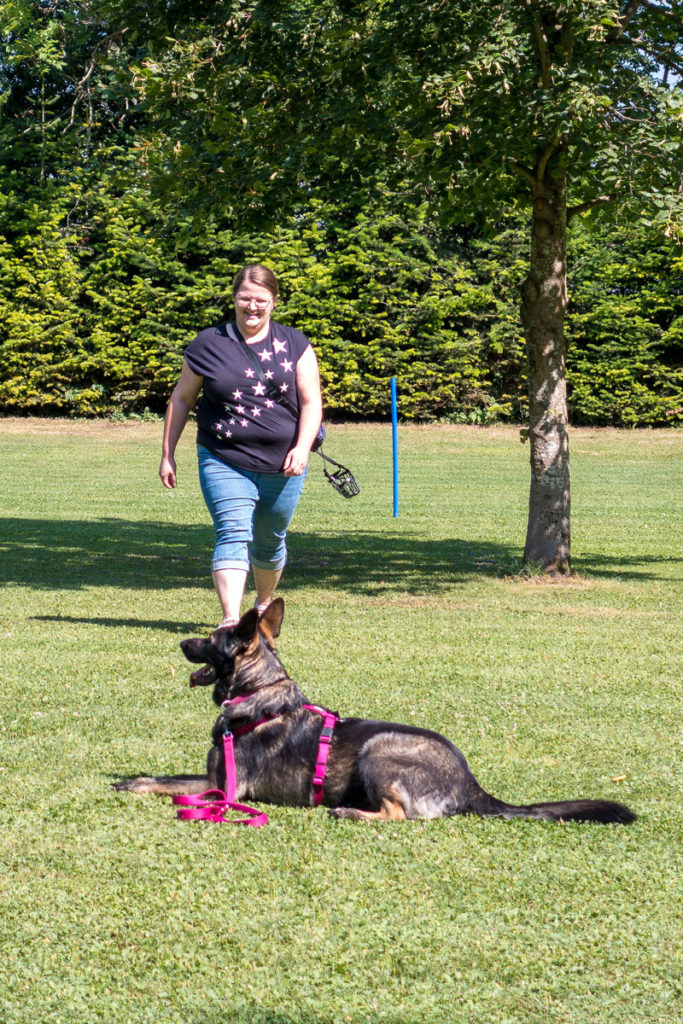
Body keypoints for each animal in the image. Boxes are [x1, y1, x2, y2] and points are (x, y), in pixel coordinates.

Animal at [115, 599, 636, 824]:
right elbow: (168, 775)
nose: (181, 643)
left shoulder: (224, 788)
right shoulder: (213, 779)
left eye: (209, 638)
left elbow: (168, 786)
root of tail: (471, 782)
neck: (257, 692)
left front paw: (135, 785)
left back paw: (351, 812)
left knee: (398, 816)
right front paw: (134, 776)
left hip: (378, 752)